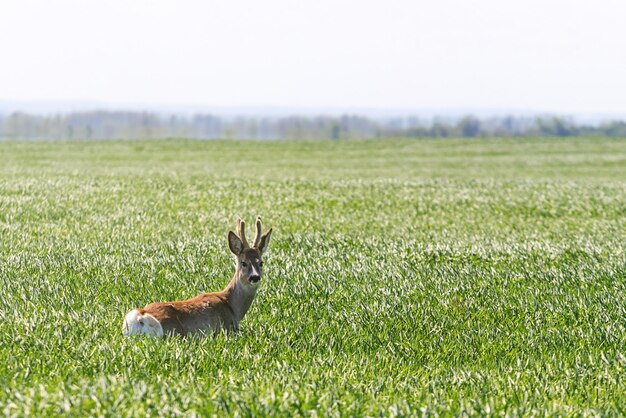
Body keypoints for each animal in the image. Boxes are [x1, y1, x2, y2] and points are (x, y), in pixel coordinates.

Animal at [122, 217, 270, 338]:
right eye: (243, 263)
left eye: (261, 262)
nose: (255, 277)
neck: (232, 306)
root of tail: (140, 317)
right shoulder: (227, 329)